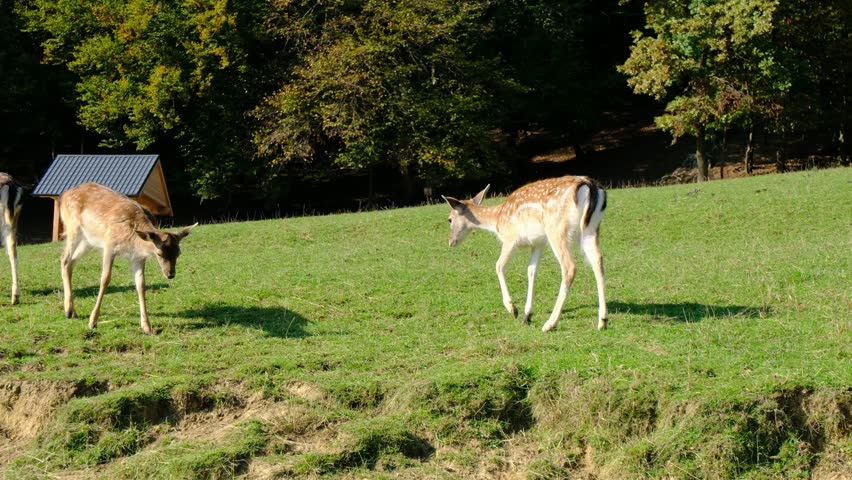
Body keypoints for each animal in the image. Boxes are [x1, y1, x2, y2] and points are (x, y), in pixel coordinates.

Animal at [59, 182, 197, 334]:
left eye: (179, 253)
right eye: (159, 253)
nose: (170, 274)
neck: (133, 241)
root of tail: (64, 195)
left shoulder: (138, 258)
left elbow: (141, 285)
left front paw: (147, 327)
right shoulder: (109, 245)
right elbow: (105, 279)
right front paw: (92, 322)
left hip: (88, 241)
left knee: (71, 262)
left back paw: (72, 312)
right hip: (73, 228)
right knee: (64, 258)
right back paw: (68, 311)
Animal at [443, 176, 607, 332]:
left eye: (449, 219)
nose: (451, 242)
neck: (497, 220)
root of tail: (590, 186)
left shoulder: (510, 238)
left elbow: (498, 265)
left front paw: (513, 309)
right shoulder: (538, 243)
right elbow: (531, 270)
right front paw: (527, 315)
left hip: (556, 229)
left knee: (570, 266)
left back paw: (550, 324)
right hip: (591, 229)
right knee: (598, 260)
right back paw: (603, 321)